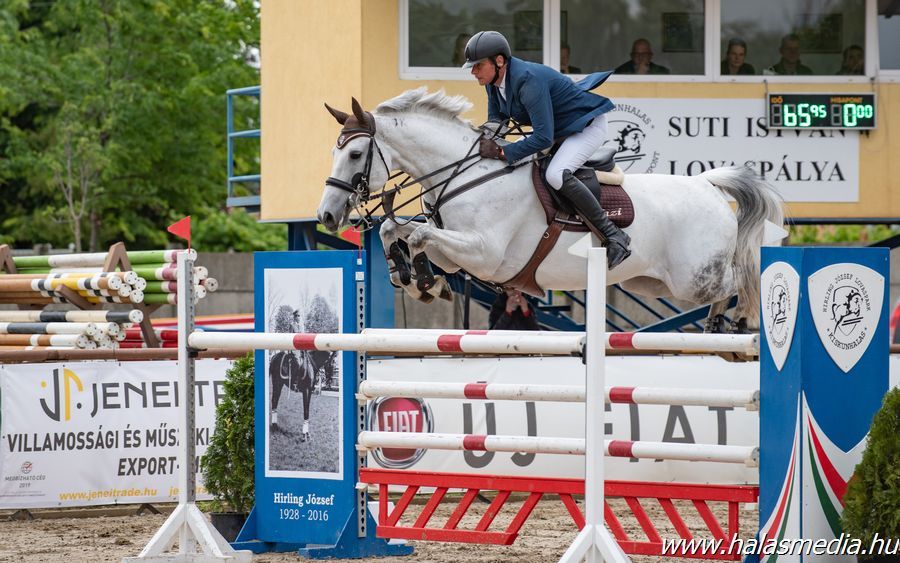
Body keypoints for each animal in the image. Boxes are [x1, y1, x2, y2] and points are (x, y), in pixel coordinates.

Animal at [316, 88, 780, 330]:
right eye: (334, 152)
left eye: (355, 154)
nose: (327, 216)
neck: (466, 173)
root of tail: (706, 184)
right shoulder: (459, 252)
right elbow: (395, 230)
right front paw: (411, 278)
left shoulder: (485, 254)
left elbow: (418, 233)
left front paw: (424, 282)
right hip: (655, 282)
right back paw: (719, 328)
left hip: (694, 278)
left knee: (741, 278)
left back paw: (742, 323)